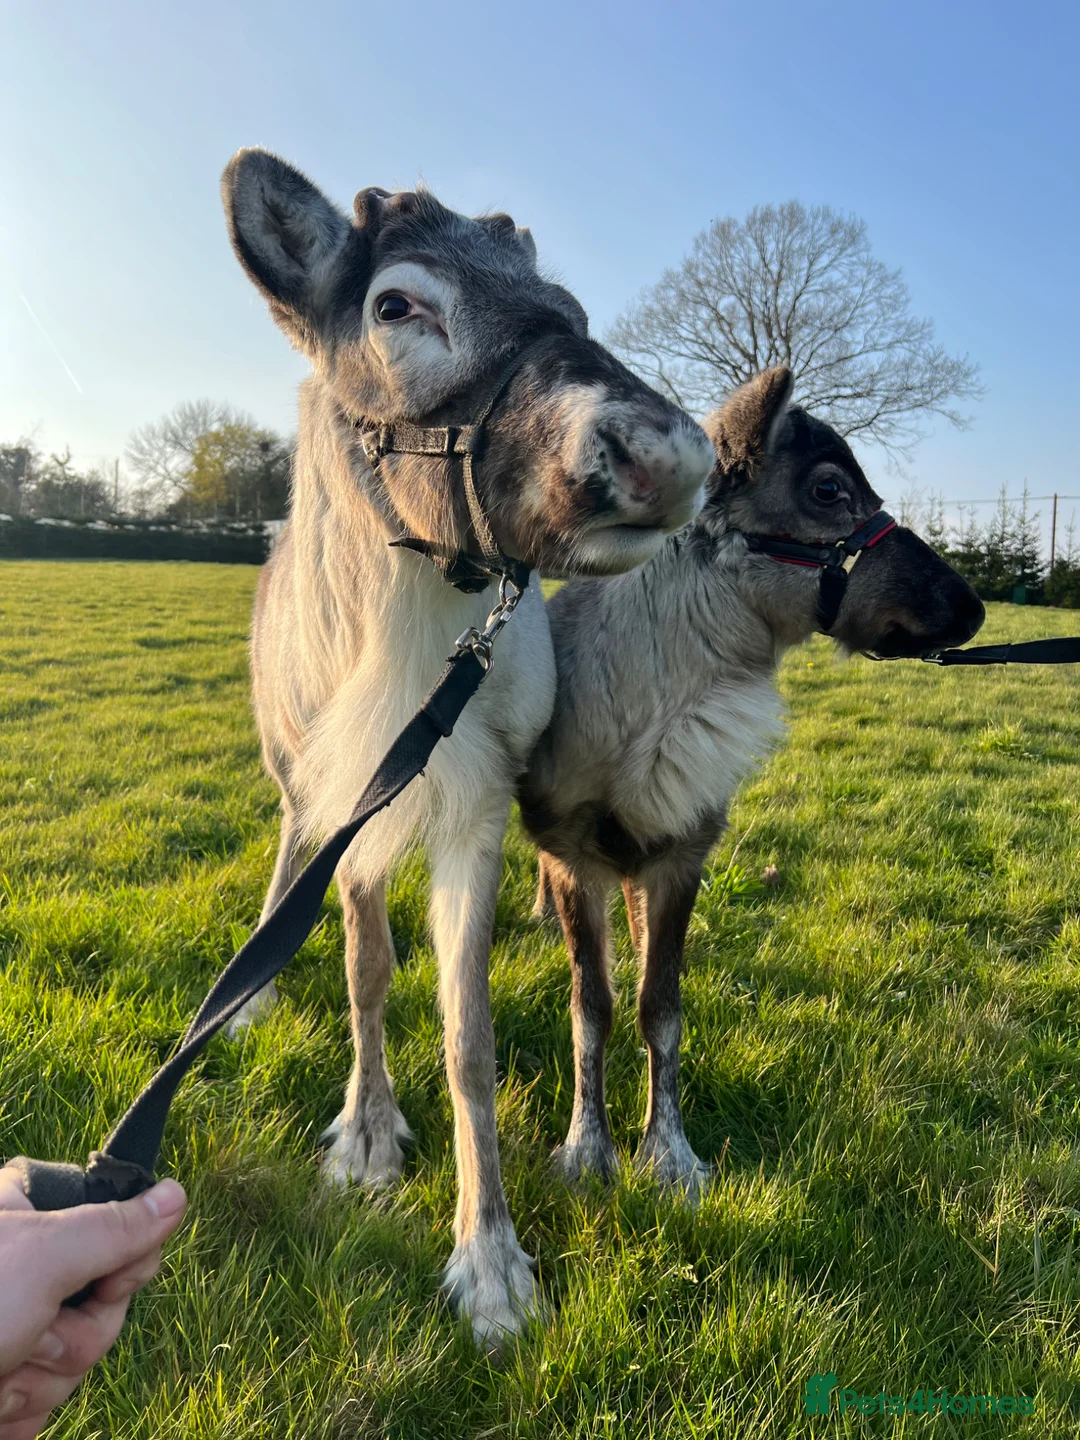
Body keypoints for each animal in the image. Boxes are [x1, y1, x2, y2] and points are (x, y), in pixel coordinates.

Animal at [219, 149, 714, 1342]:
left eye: (571, 308)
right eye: (397, 305)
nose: (666, 456)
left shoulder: (480, 800)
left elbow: (470, 1037)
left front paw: (490, 1261)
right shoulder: (351, 794)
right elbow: (366, 973)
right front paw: (366, 1137)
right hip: (290, 773)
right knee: (287, 852)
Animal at [519, 366, 984, 1196]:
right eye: (830, 488)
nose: (972, 607)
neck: (657, 714)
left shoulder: (682, 852)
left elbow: (660, 1007)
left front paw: (669, 1156)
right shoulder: (573, 853)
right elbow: (591, 1007)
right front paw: (587, 1151)